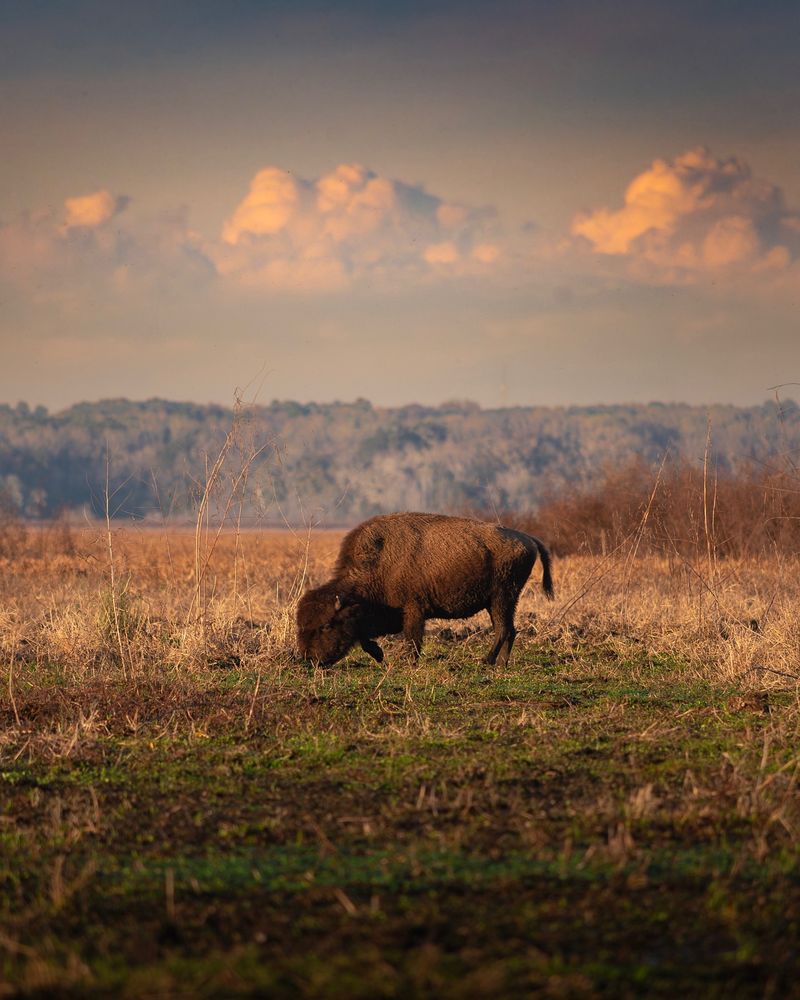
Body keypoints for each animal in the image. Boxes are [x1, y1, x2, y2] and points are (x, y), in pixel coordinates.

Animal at [296, 516, 552, 664]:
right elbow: (364, 638)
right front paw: (380, 656)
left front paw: (408, 662)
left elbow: (412, 637)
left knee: (503, 628)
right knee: (510, 630)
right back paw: (501, 664)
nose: (309, 658)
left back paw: (486, 661)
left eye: (326, 625)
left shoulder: (413, 610)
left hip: (502, 598)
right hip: (500, 601)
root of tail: (527, 538)